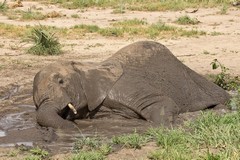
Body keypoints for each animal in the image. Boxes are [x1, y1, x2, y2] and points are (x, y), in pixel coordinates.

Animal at [32, 41, 230, 129]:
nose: (73, 128)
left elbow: (163, 102)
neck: (86, 67)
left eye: (61, 81)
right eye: (35, 102)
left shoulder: (123, 87)